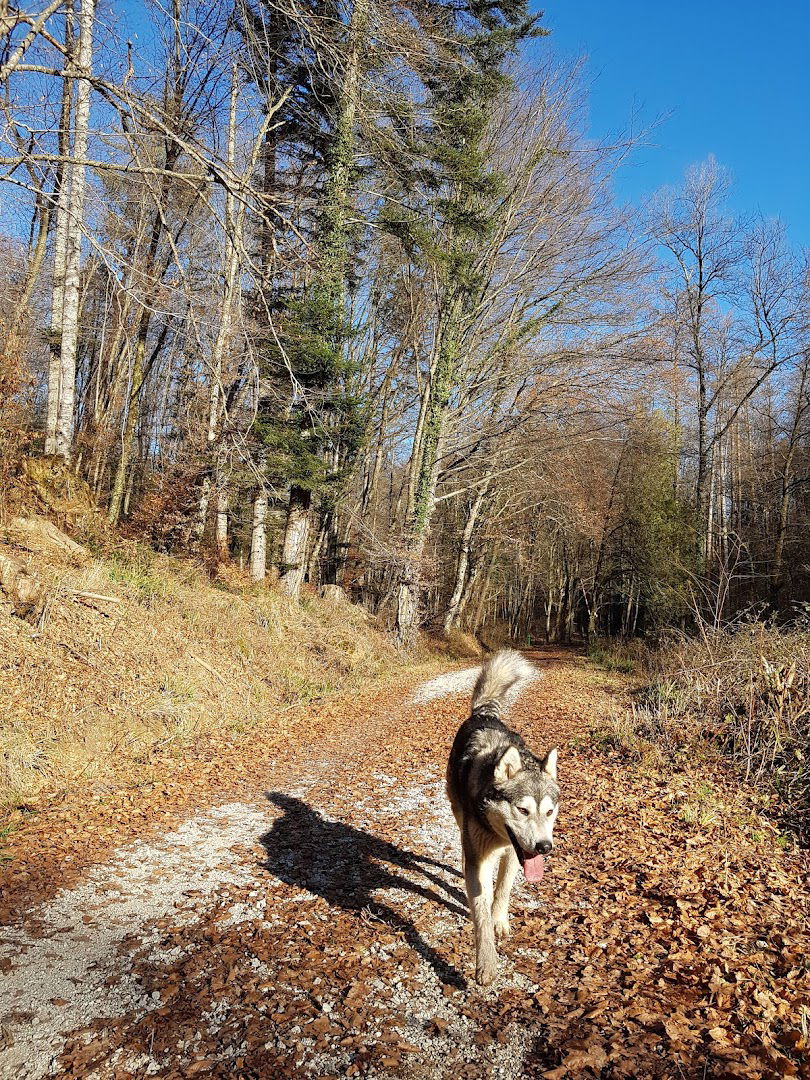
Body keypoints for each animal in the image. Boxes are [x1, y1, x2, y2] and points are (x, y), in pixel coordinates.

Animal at [447, 648, 561, 989]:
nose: (544, 847)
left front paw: (500, 921)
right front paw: (486, 964)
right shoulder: (480, 862)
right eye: (523, 810)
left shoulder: (514, 853)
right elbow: (481, 908)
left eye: (549, 812)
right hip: (459, 817)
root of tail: (484, 714)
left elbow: (503, 891)